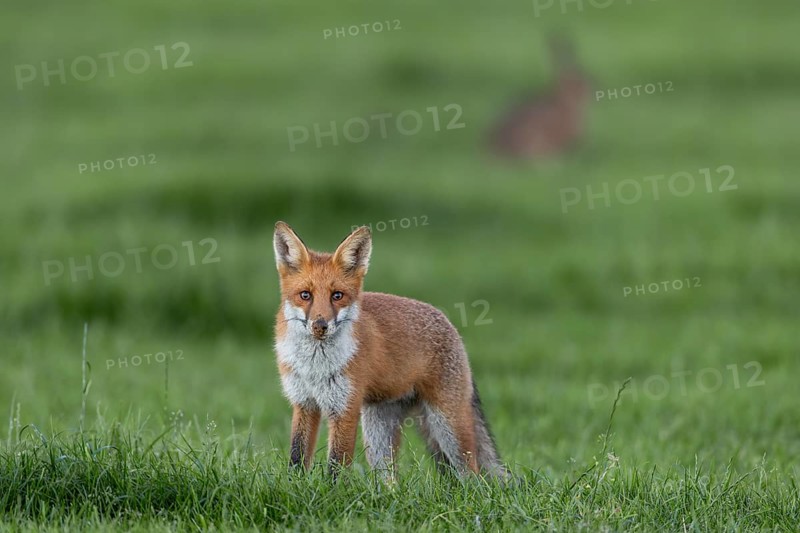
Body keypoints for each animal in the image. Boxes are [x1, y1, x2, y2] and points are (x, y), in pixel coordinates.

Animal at [272, 221, 507, 480]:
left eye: (337, 296)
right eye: (305, 295)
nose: (320, 325)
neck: (314, 367)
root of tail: (448, 323)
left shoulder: (345, 407)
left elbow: (336, 465)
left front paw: (330, 490)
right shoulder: (304, 402)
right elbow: (297, 456)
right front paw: (295, 485)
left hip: (447, 425)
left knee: (472, 474)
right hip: (378, 434)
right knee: (390, 480)